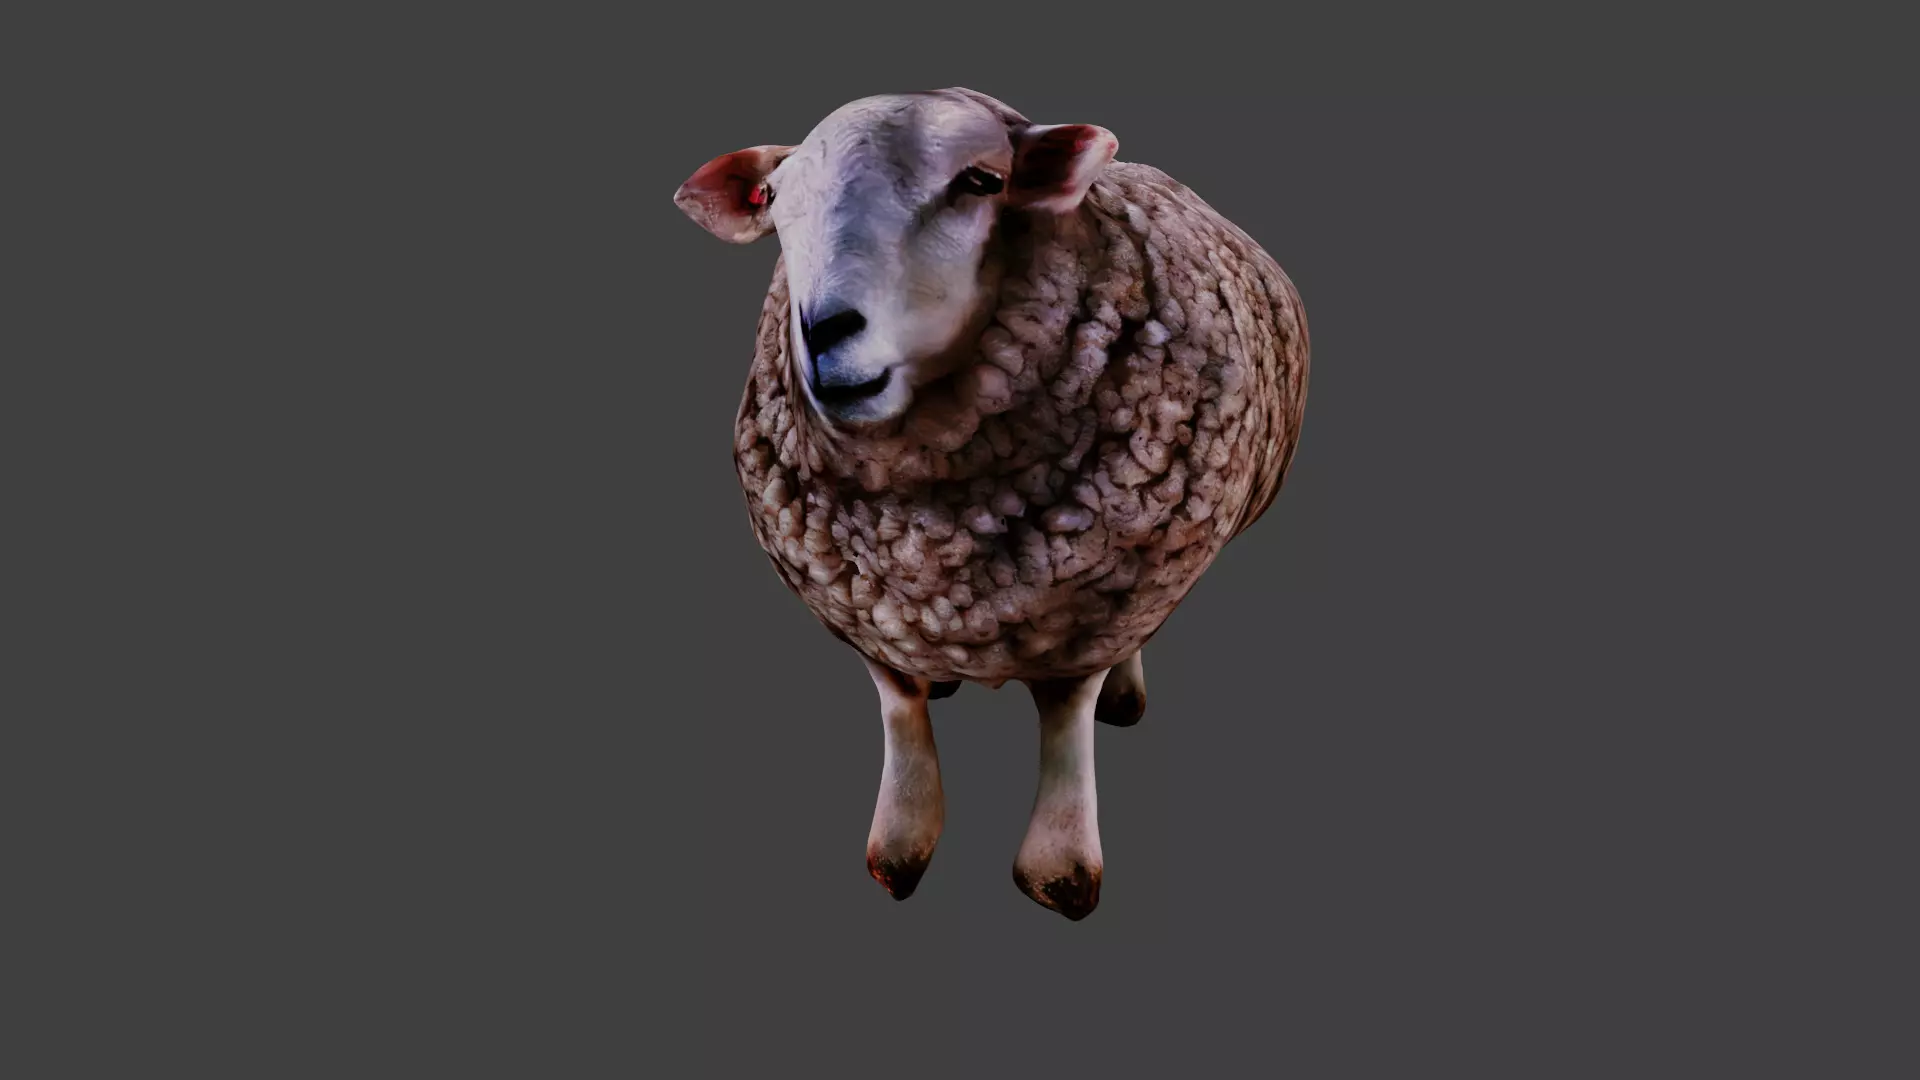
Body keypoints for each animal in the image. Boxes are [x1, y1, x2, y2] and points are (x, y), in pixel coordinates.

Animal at [674, 87, 1309, 920]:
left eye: (981, 181)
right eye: (776, 202)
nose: (824, 332)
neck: (926, 538)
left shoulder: (1090, 606)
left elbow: (1067, 713)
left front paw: (1060, 868)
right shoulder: (863, 605)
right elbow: (900, 705)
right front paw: (900, 844)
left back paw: (1124, 697)